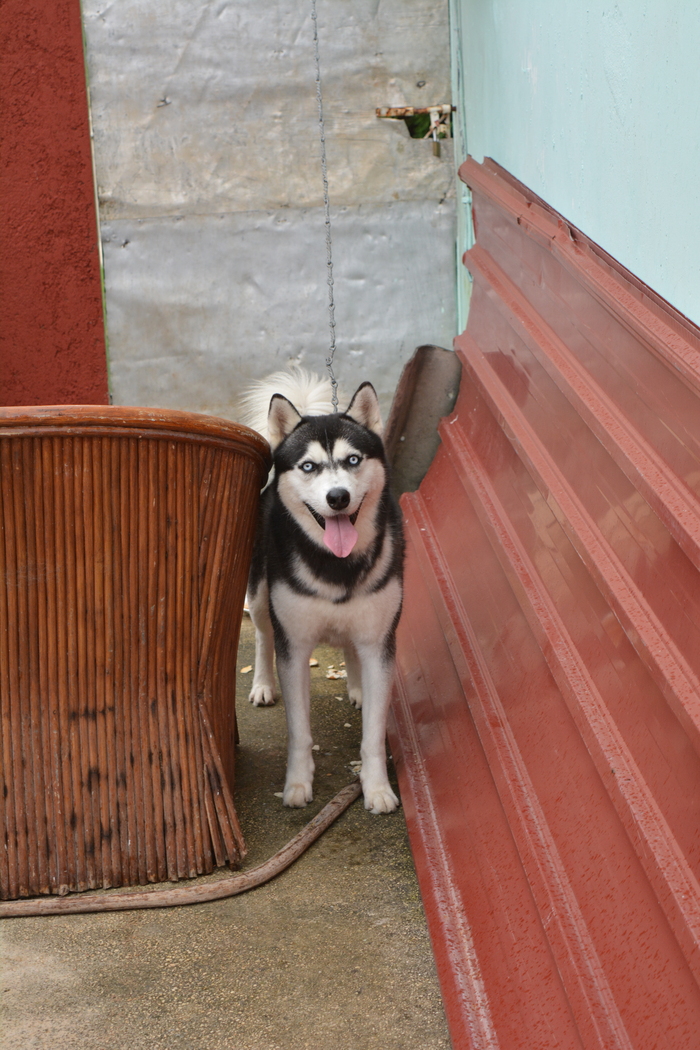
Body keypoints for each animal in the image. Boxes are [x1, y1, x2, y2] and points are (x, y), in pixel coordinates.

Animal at [241, 369, 404, 814]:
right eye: (309, 466)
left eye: (353, 460)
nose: (338, 497)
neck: (337, 563)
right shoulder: (294, 646)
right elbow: (299, 731)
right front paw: (297, 784)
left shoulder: (379, 641)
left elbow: (373, 734)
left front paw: (377, 787)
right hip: (259, 594)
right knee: (262, 633)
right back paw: (262, 684)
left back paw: (358, 687)